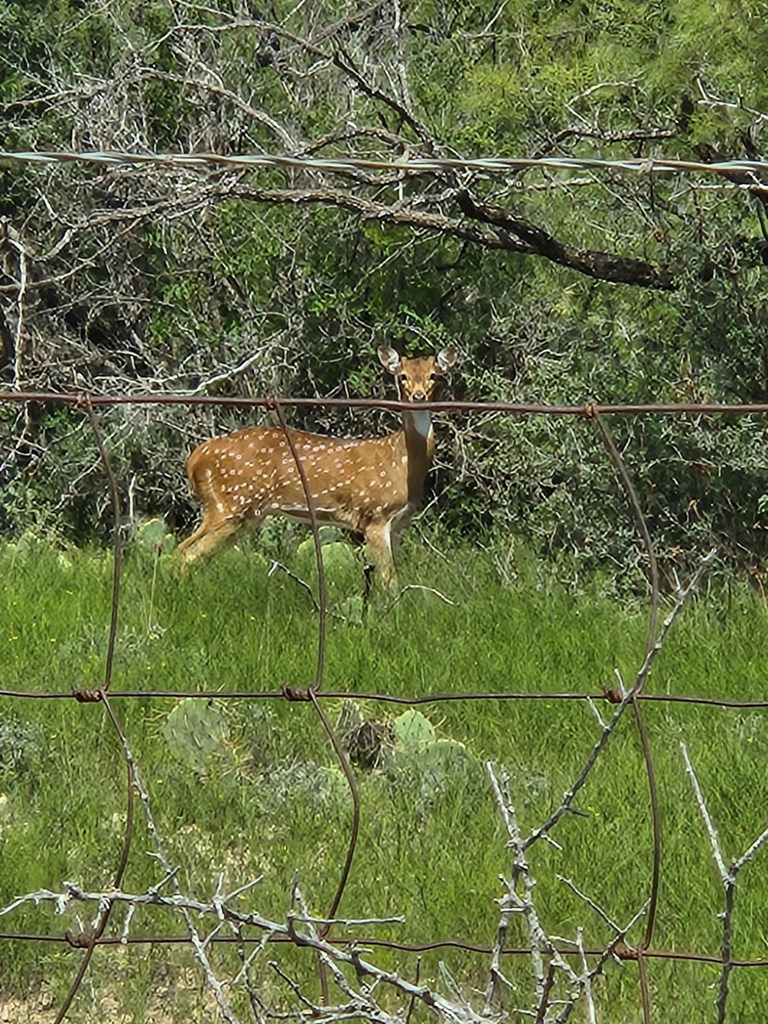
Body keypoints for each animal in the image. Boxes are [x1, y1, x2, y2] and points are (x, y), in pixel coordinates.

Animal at [177, 346, 460, 581]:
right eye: (402, 376)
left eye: (434, 375)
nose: (418, 396)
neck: (400, 459)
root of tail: (195, 457)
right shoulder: (374, 516)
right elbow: (388, 580)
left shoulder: (398, 523)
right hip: (228, 504)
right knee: (187, 550)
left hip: (240, 513)